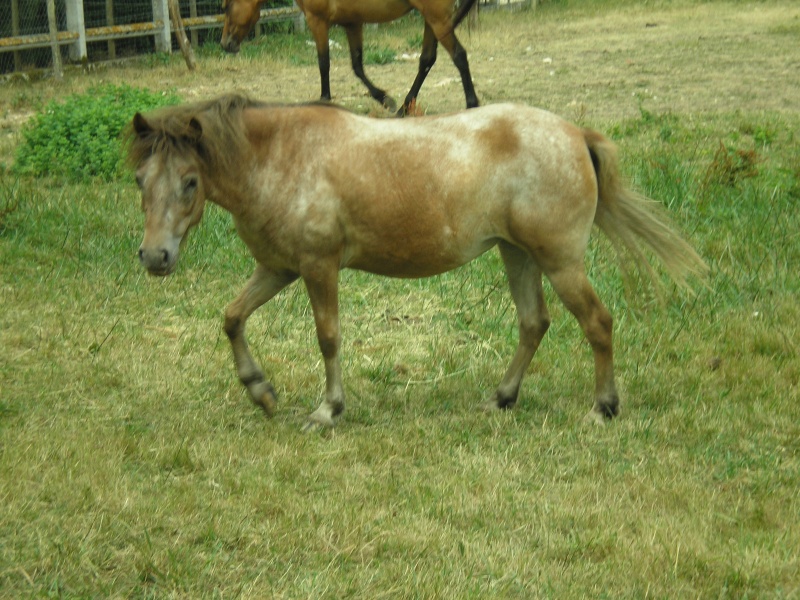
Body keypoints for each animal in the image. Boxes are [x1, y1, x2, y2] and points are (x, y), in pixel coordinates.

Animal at [126, 96, 708, 428]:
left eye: (190, 182)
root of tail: (575, 134)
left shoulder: (317, 267)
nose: (156, 257)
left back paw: (603, 407)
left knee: (597, 323)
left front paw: (327, 410)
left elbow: (328, 337)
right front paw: (261, 392)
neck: (283, 156)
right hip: (517, 254)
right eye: (139, 180)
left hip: (559, 261)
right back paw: (502, 399)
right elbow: (232, 318)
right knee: (533, 323)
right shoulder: (278, 268)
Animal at [219, 0, 478, 113]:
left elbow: (324, 63)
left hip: (437, 17)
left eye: (226, 5)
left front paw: (324, 100)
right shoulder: (352, 23)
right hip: (431, 19)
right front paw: (384, 99)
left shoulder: (317, 21)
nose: (225, 44)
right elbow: (357, 66)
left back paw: (472, 103)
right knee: (427, 60)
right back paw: (403, 108)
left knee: (459, 56)